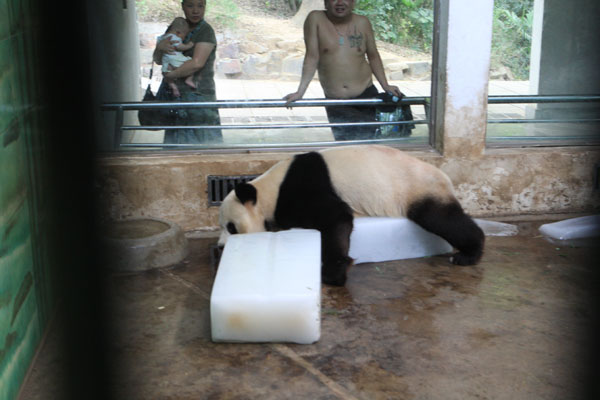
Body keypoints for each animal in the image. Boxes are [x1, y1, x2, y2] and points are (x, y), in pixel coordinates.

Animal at [218, 145, 486, 286]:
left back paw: (468, 254)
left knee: (442, 219)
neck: (269, 190)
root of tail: (445, 177)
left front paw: (334, 273)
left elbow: (336, 218)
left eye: (231, 227)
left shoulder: (302, 188)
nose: (219, 247)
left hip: (418, 189)